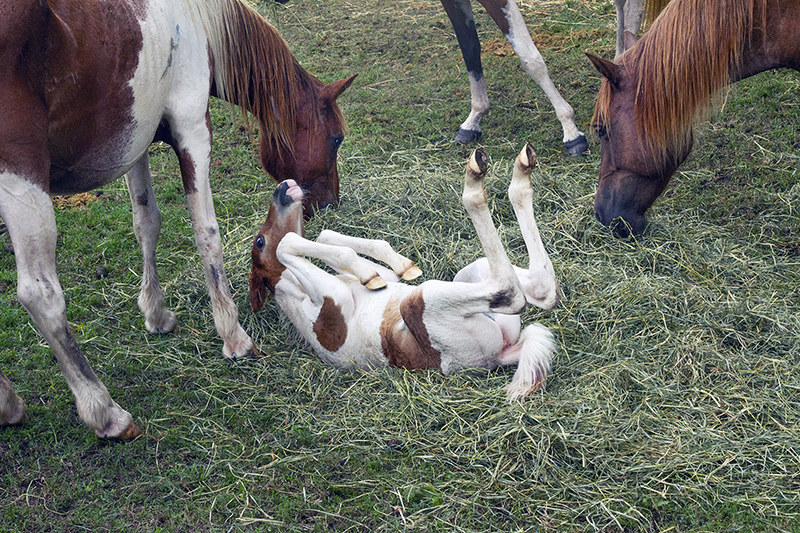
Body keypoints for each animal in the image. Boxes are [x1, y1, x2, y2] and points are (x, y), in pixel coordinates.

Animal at [0, 0, 354, 436]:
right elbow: (207, 232)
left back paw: (8, 404)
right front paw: (233, 335)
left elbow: (146, 223)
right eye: (336, 138)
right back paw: (104, 410)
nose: (330, 202)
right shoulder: (192, 130)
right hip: (20, 179)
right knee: (41, 295)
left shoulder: (136, 139)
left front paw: (156, 313)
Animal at [253, 145, 560, 400]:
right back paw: (479, 176)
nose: (283, 186)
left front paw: (397, 266)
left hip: (469, 274)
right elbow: (286, 244)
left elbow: (325, 237)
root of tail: (498, 356)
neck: (296, 292)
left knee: (540, 289)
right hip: (421, 299)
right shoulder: (331, 301)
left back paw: (520, 171)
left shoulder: (374, 281)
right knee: (513, 291)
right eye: (259, 241)